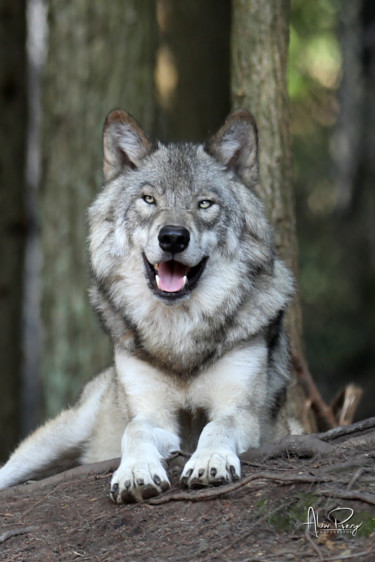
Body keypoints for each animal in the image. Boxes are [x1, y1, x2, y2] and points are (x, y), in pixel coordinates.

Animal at [0, 107, 296, 500]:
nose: (172, 237)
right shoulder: (152, 415)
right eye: (149, 200)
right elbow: (135, 431)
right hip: (57, 436)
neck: (178, 336)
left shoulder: (240, 411)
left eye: (204, 204)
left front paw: (209, 461)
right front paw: (136, 472)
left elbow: (216, 427)